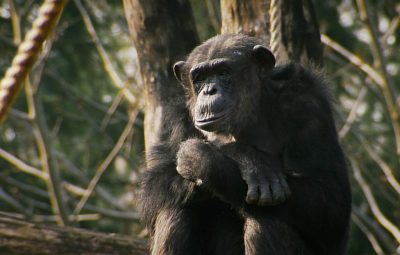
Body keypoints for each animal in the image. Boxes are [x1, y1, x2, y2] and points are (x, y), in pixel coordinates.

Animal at [139, 34, 352, 255]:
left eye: (223, 72)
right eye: (200, 78)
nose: (209, 90)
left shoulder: (308, 105)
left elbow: (330, 200)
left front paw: (206, 158)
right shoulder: (178, 118)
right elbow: (152, 190)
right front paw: (248, 159)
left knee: (266, 222)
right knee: (174, 210)